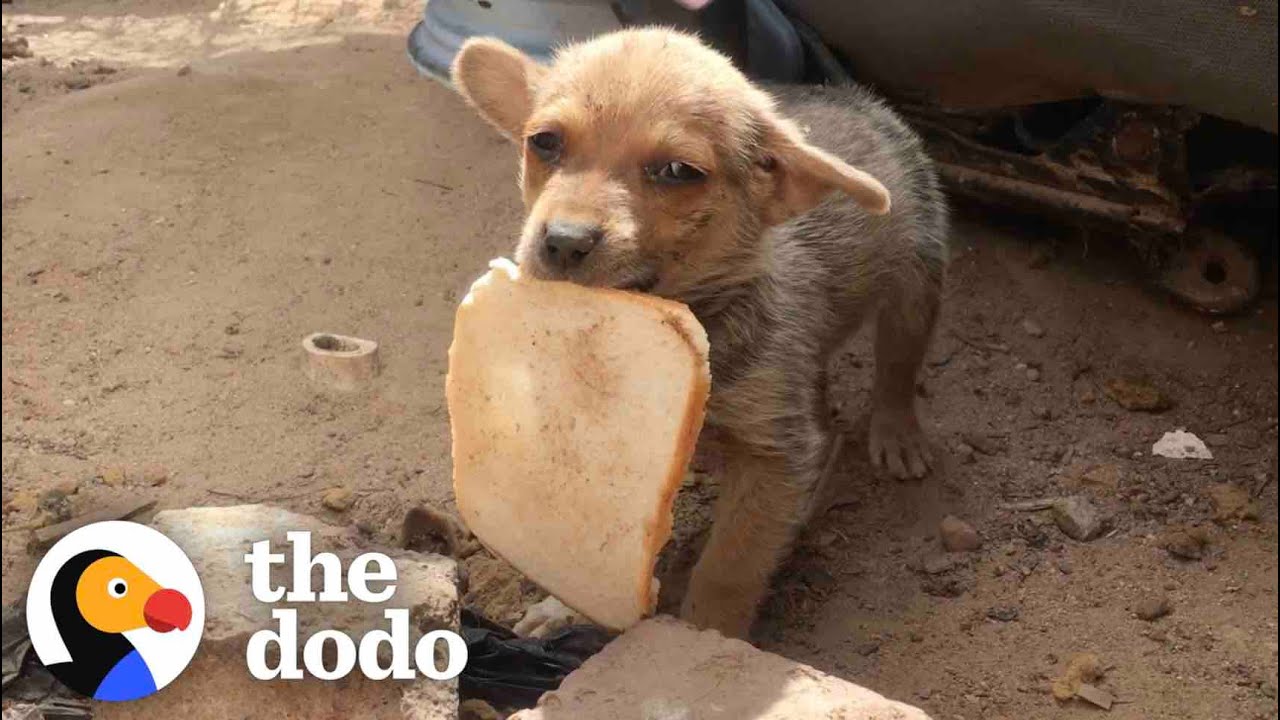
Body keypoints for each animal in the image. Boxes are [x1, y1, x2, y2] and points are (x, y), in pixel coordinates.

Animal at [445, 28, 947, 635]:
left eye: (678, 172)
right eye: (544, 142)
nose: (563, 241)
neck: (700, 318)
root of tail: (850, 97)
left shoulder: (775, 457)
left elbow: (728, 567)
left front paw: (708, 637)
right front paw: (560, 607)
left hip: (917, 280)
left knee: (899, 364)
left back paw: (897, 433)